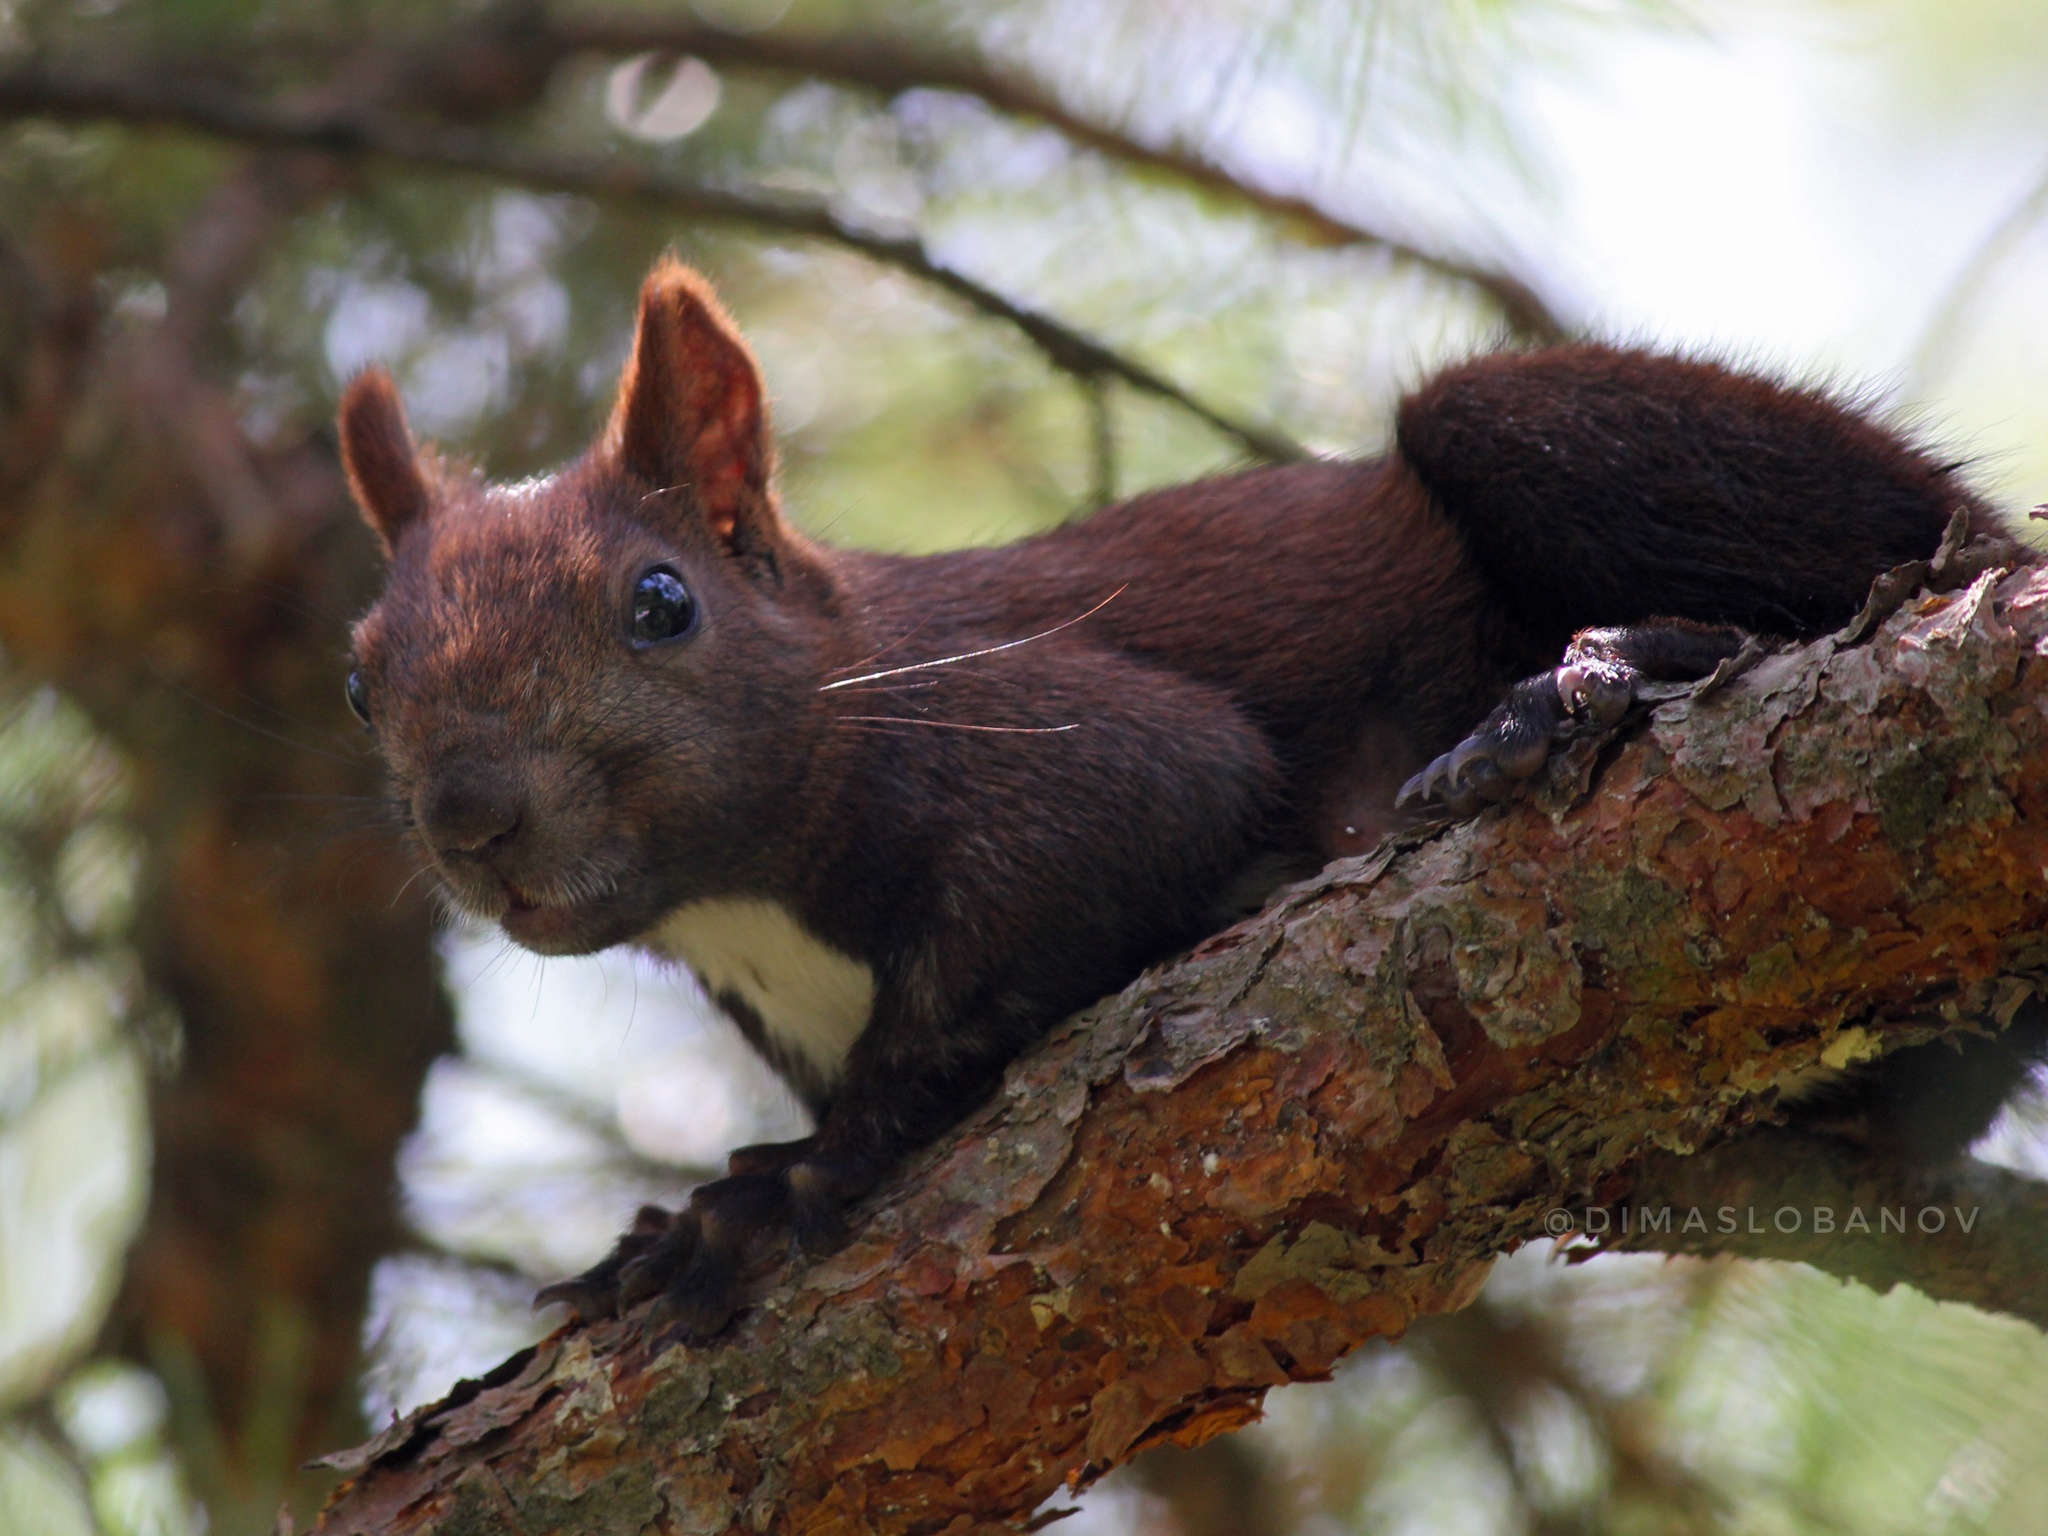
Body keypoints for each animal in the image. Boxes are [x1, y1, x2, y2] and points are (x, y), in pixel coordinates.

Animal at [339, 259, 2031, 1343]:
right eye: (358, 680)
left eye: (662, 603)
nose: (473, 818)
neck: (739, 911)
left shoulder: (1068, 745)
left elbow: (1013, 954)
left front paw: (768, 1195)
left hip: (1581, 444)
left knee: (1852, 580)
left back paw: (1588, 684)